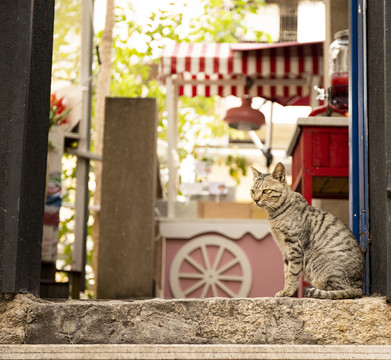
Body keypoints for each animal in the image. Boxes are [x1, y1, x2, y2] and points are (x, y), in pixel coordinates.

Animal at [251, 162, 364, 298]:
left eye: (266, 191)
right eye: (253, 191)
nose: (256, 200)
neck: (275, 215)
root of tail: (360, 286)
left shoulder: (294, 246)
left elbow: (292, 273)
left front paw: (288, 292)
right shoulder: (285, 251)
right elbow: (286, 272)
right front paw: (286, 290)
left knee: (340, 291)